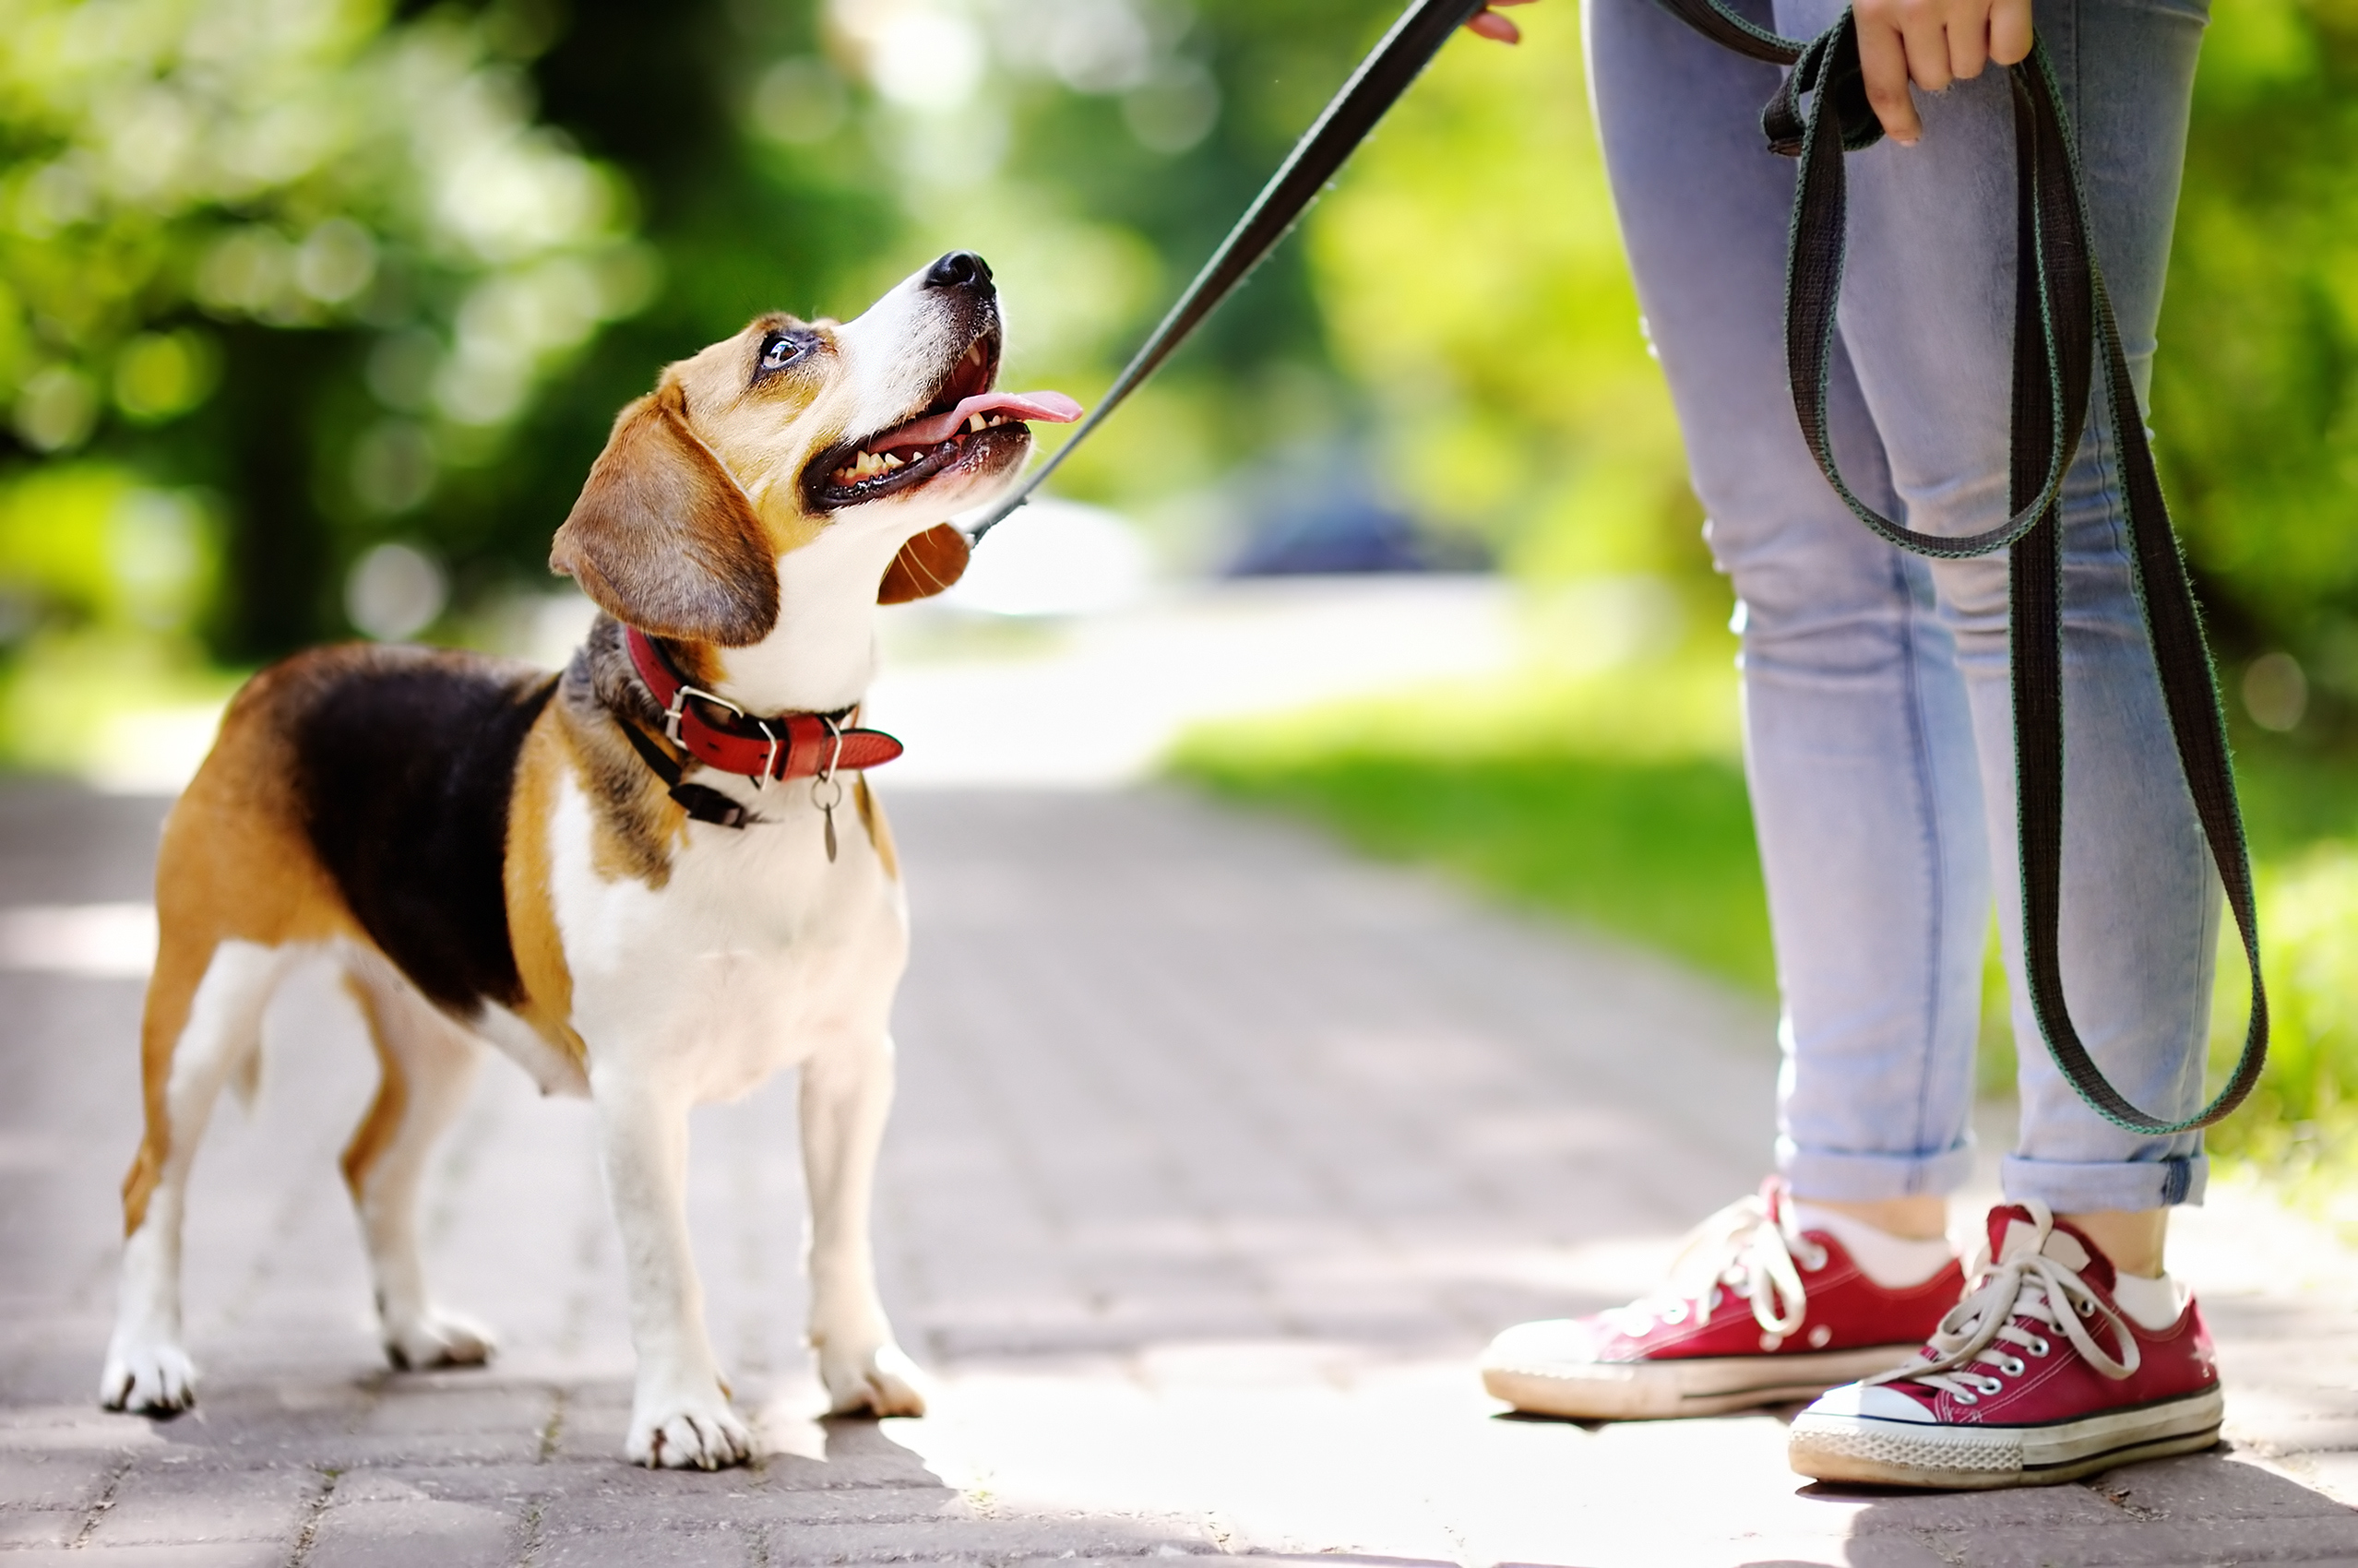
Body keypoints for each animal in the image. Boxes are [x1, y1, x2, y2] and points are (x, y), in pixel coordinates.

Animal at [99, 251, 1079, 1461]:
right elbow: (668, 1264)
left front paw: (858, 1366)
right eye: (783, 349)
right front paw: (687, 1409)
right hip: (204, 1002)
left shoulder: (855, 1059)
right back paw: (147, 1359)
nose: (967, 264)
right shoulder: (638, 1085)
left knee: (371, 1167)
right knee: (151, 1181)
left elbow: (838, 1235)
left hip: (439, 1031)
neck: (758, 755)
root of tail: (278, 676)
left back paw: (415, 1329)